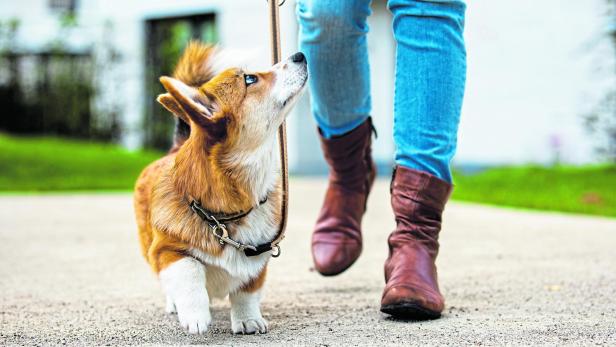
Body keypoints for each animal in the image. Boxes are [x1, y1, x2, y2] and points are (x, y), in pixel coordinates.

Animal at [135, 42, 308, 336]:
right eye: (250, 79)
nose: (300, 55)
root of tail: (175, 147)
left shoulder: (258, 259)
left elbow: (246, 291)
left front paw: (248, 320)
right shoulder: (166, 251)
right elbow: (190, 269)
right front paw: (195, 315)